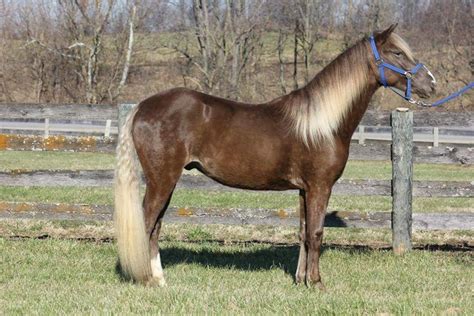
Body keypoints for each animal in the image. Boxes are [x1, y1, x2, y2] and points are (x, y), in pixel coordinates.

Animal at [114, 24, 436, 288]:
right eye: (397, 52)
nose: (431, 83)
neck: (322, 123)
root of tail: (142, 106)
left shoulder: (305, 190)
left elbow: (304, 233)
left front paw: (301, 280)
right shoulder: (320, 187)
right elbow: (316, 233)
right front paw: (317, 283)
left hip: (166, 181)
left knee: (155, 227)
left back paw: (158, 279)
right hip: (162, 179)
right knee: (146, 224)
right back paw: (143, 279)